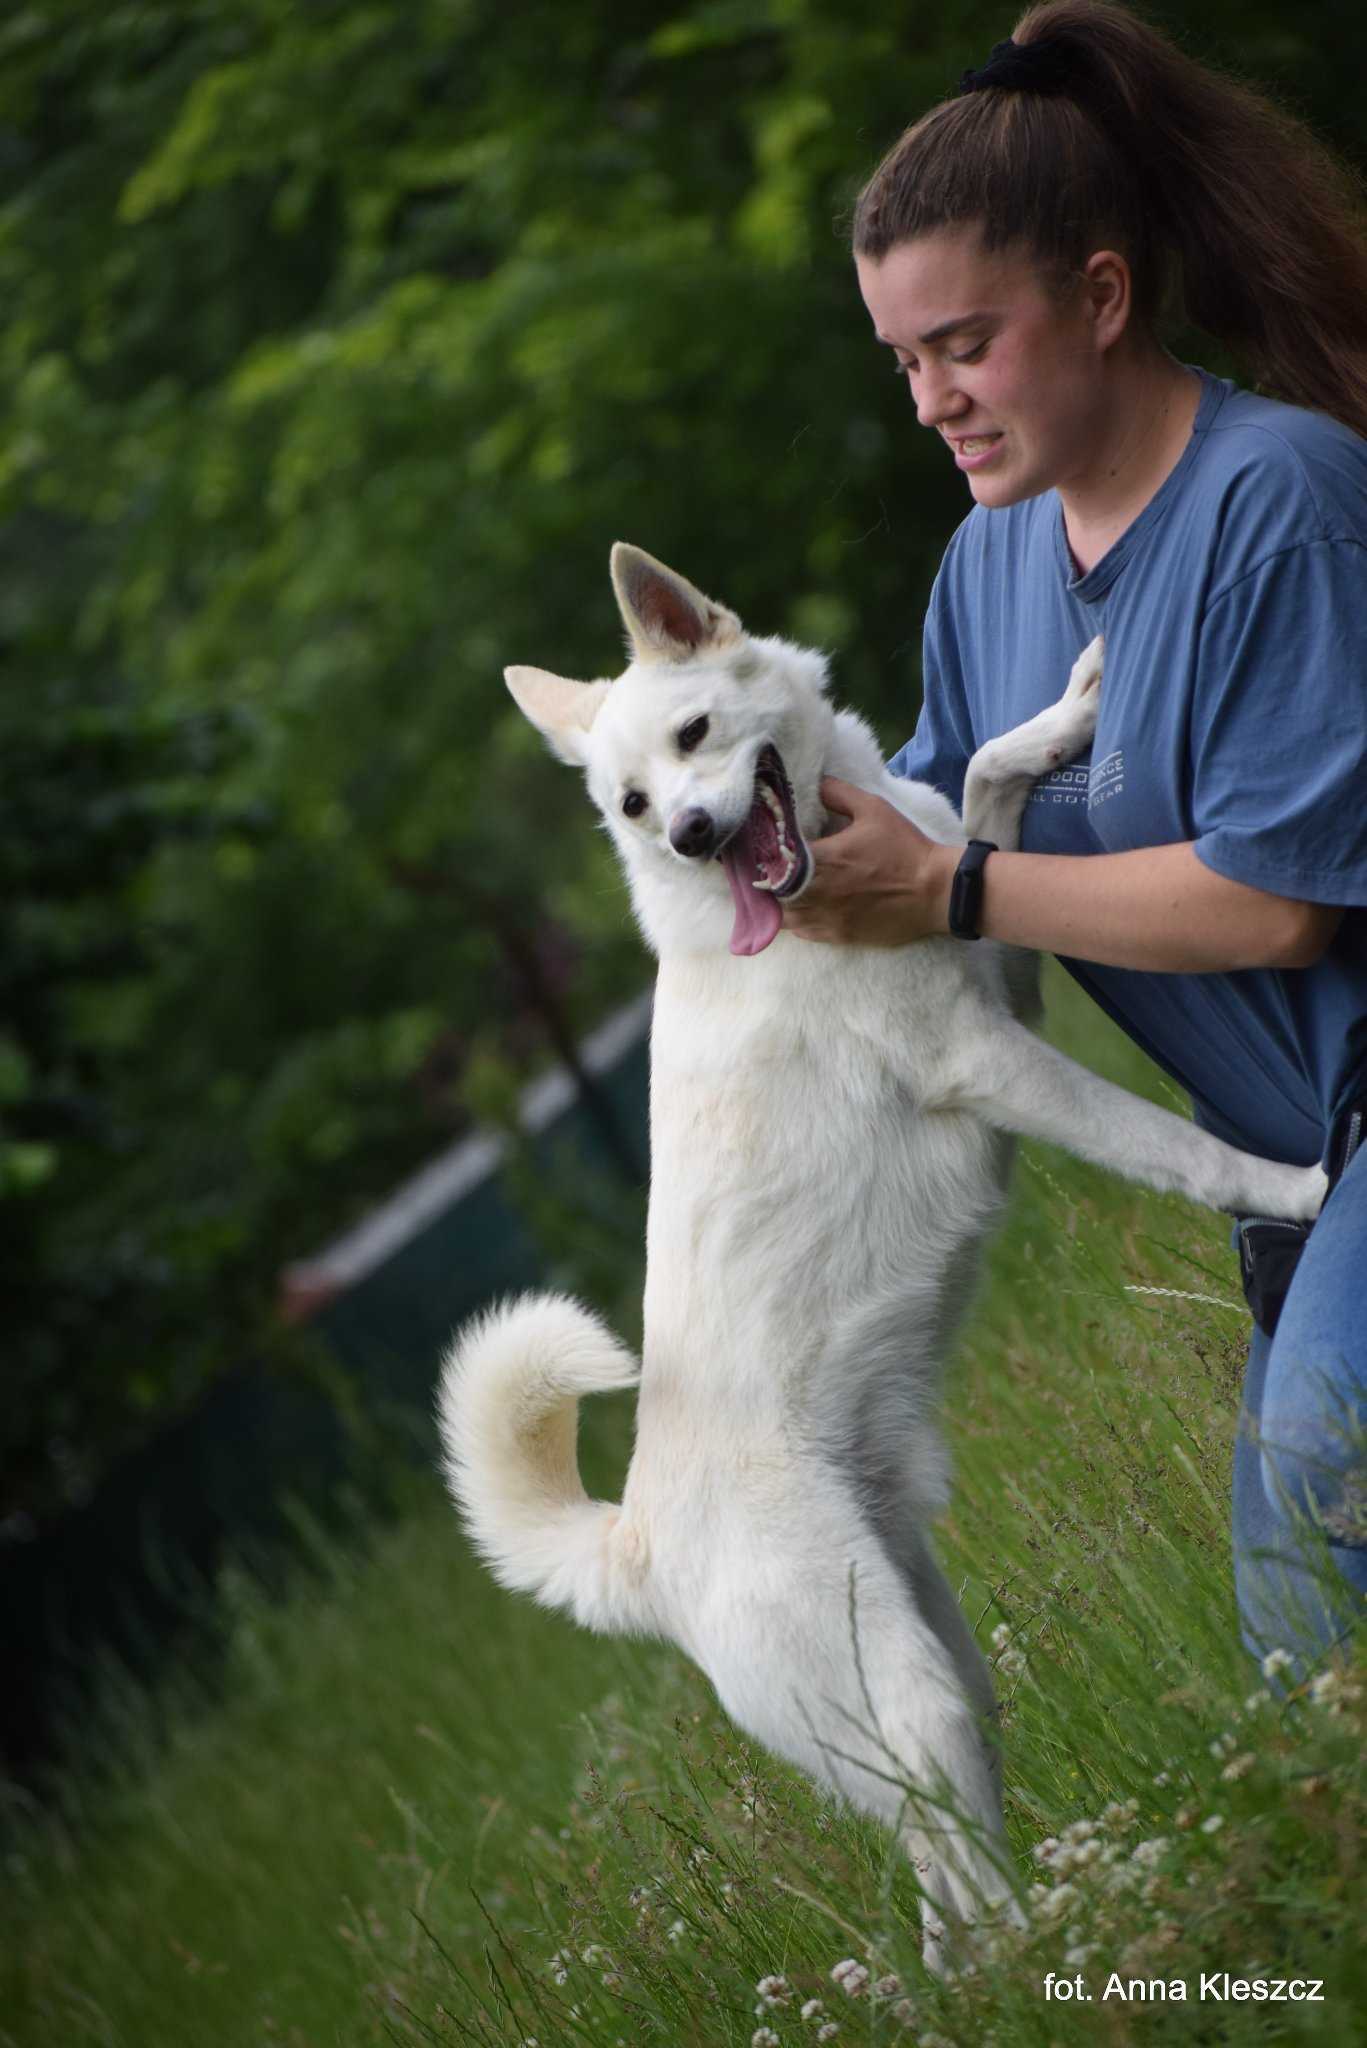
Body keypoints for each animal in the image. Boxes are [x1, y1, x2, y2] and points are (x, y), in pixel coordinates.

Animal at [436, 544, 1328, 1966]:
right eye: (630, 804)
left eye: (693, 738)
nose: (687, 835)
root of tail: (635, 1545)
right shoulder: (991, 1059)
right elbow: (1182, 1153)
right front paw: (1299, 1183)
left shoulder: (1003, 964)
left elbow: (978, 796)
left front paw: (1064, 714)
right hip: (913, 1705)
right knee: (978, 1904)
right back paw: (1069, 1957)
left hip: (942, 1685)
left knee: (941, 1909)